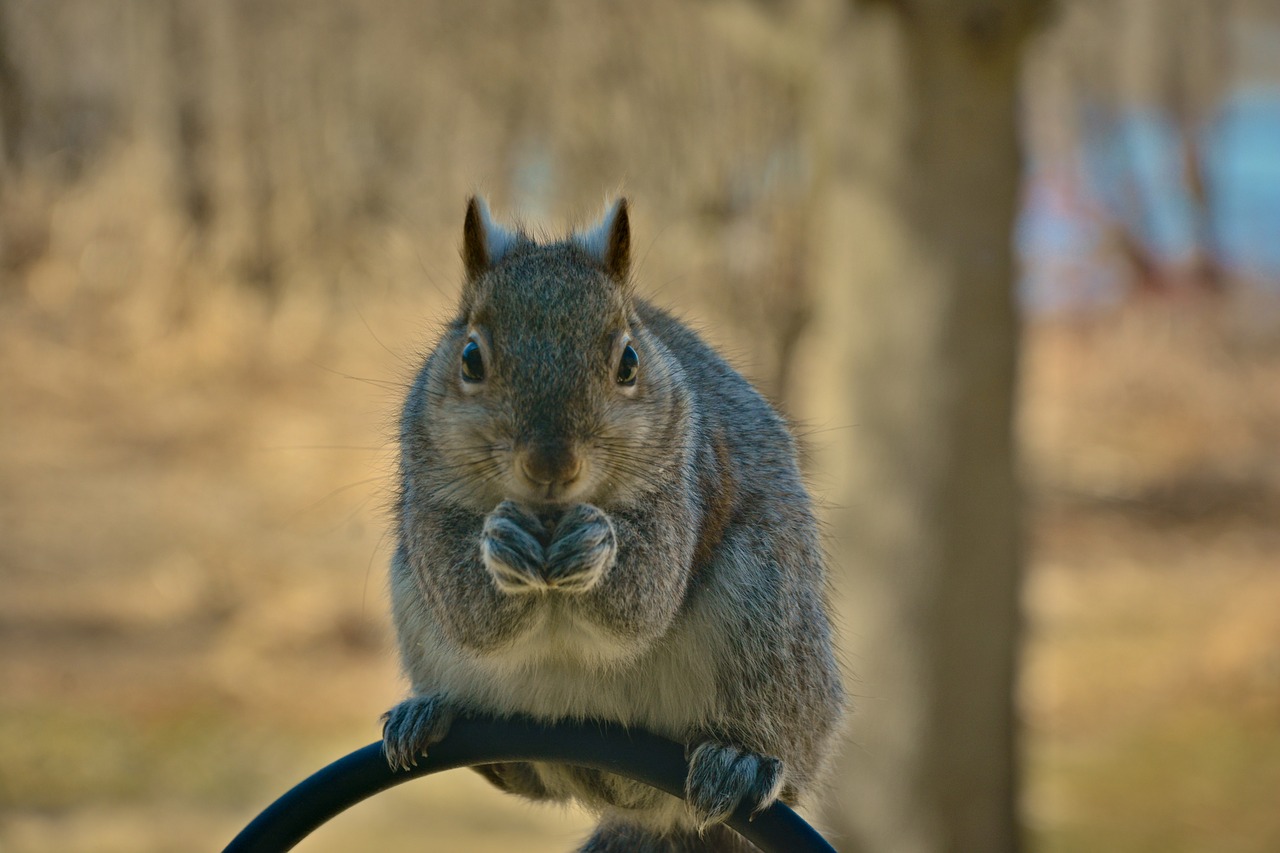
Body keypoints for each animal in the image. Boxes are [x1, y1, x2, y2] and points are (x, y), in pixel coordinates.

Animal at [376, 195, 849, 845]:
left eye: (628, 361)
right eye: (470, 358)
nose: (551, 464)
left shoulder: (686, 480)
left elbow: (645, 598)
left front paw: (595, 544)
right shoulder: (428, 497)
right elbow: (468, 610)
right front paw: (500, 547)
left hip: (768, 616)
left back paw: (742, 760)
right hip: (412, 605)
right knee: (523, 776)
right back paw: (432, 715)